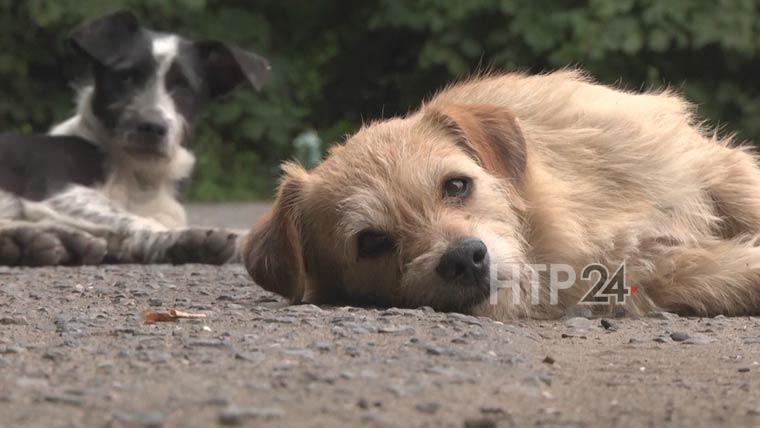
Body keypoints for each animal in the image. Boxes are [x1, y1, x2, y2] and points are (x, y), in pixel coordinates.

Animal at [0, 10, 270, 264]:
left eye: (183, 87)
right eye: (126, 76)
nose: (152, 126)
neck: (138, 173)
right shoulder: (56, 192)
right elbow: (132, 219)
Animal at [240, 70, 760, 318]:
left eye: (456, 185)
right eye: (370, 241)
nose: (465, 258)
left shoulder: (710, 167)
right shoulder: (653, 272)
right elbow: (726, 272)